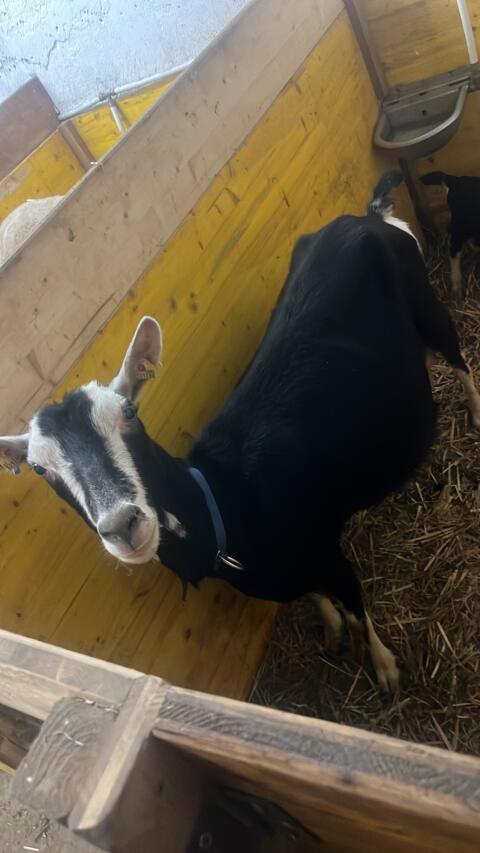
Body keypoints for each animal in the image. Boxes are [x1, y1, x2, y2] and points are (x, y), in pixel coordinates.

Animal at [1, 171, 478, 691]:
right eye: (39, 469)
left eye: (128, 411)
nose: (123, 526)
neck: (228, 502)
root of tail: (369, 216)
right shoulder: (288, 573)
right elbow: (316, 599)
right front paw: (331, 630)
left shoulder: (328, 549)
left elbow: (356, 607)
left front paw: (386, 668)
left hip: (428, 305)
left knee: (459, 358)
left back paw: (475, 413)